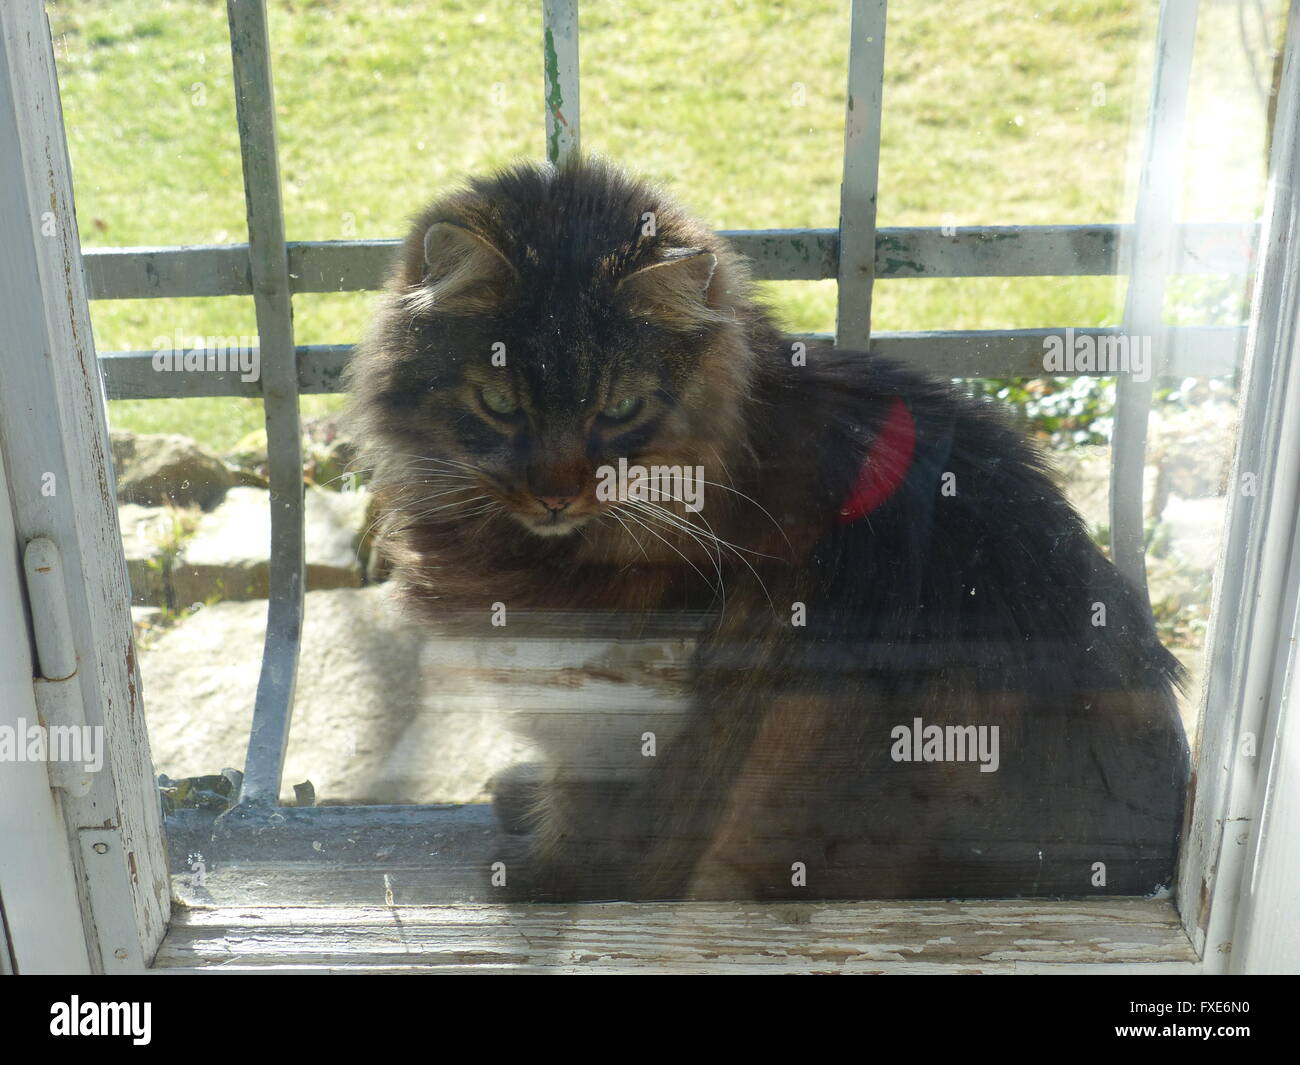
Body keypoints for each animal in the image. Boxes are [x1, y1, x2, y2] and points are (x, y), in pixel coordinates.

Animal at [343, 157, 1190, 899]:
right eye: (499, 404)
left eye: (618, 410)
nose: (554, 495)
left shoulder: (629, 713)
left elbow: (592, 823)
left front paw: (536, 876)